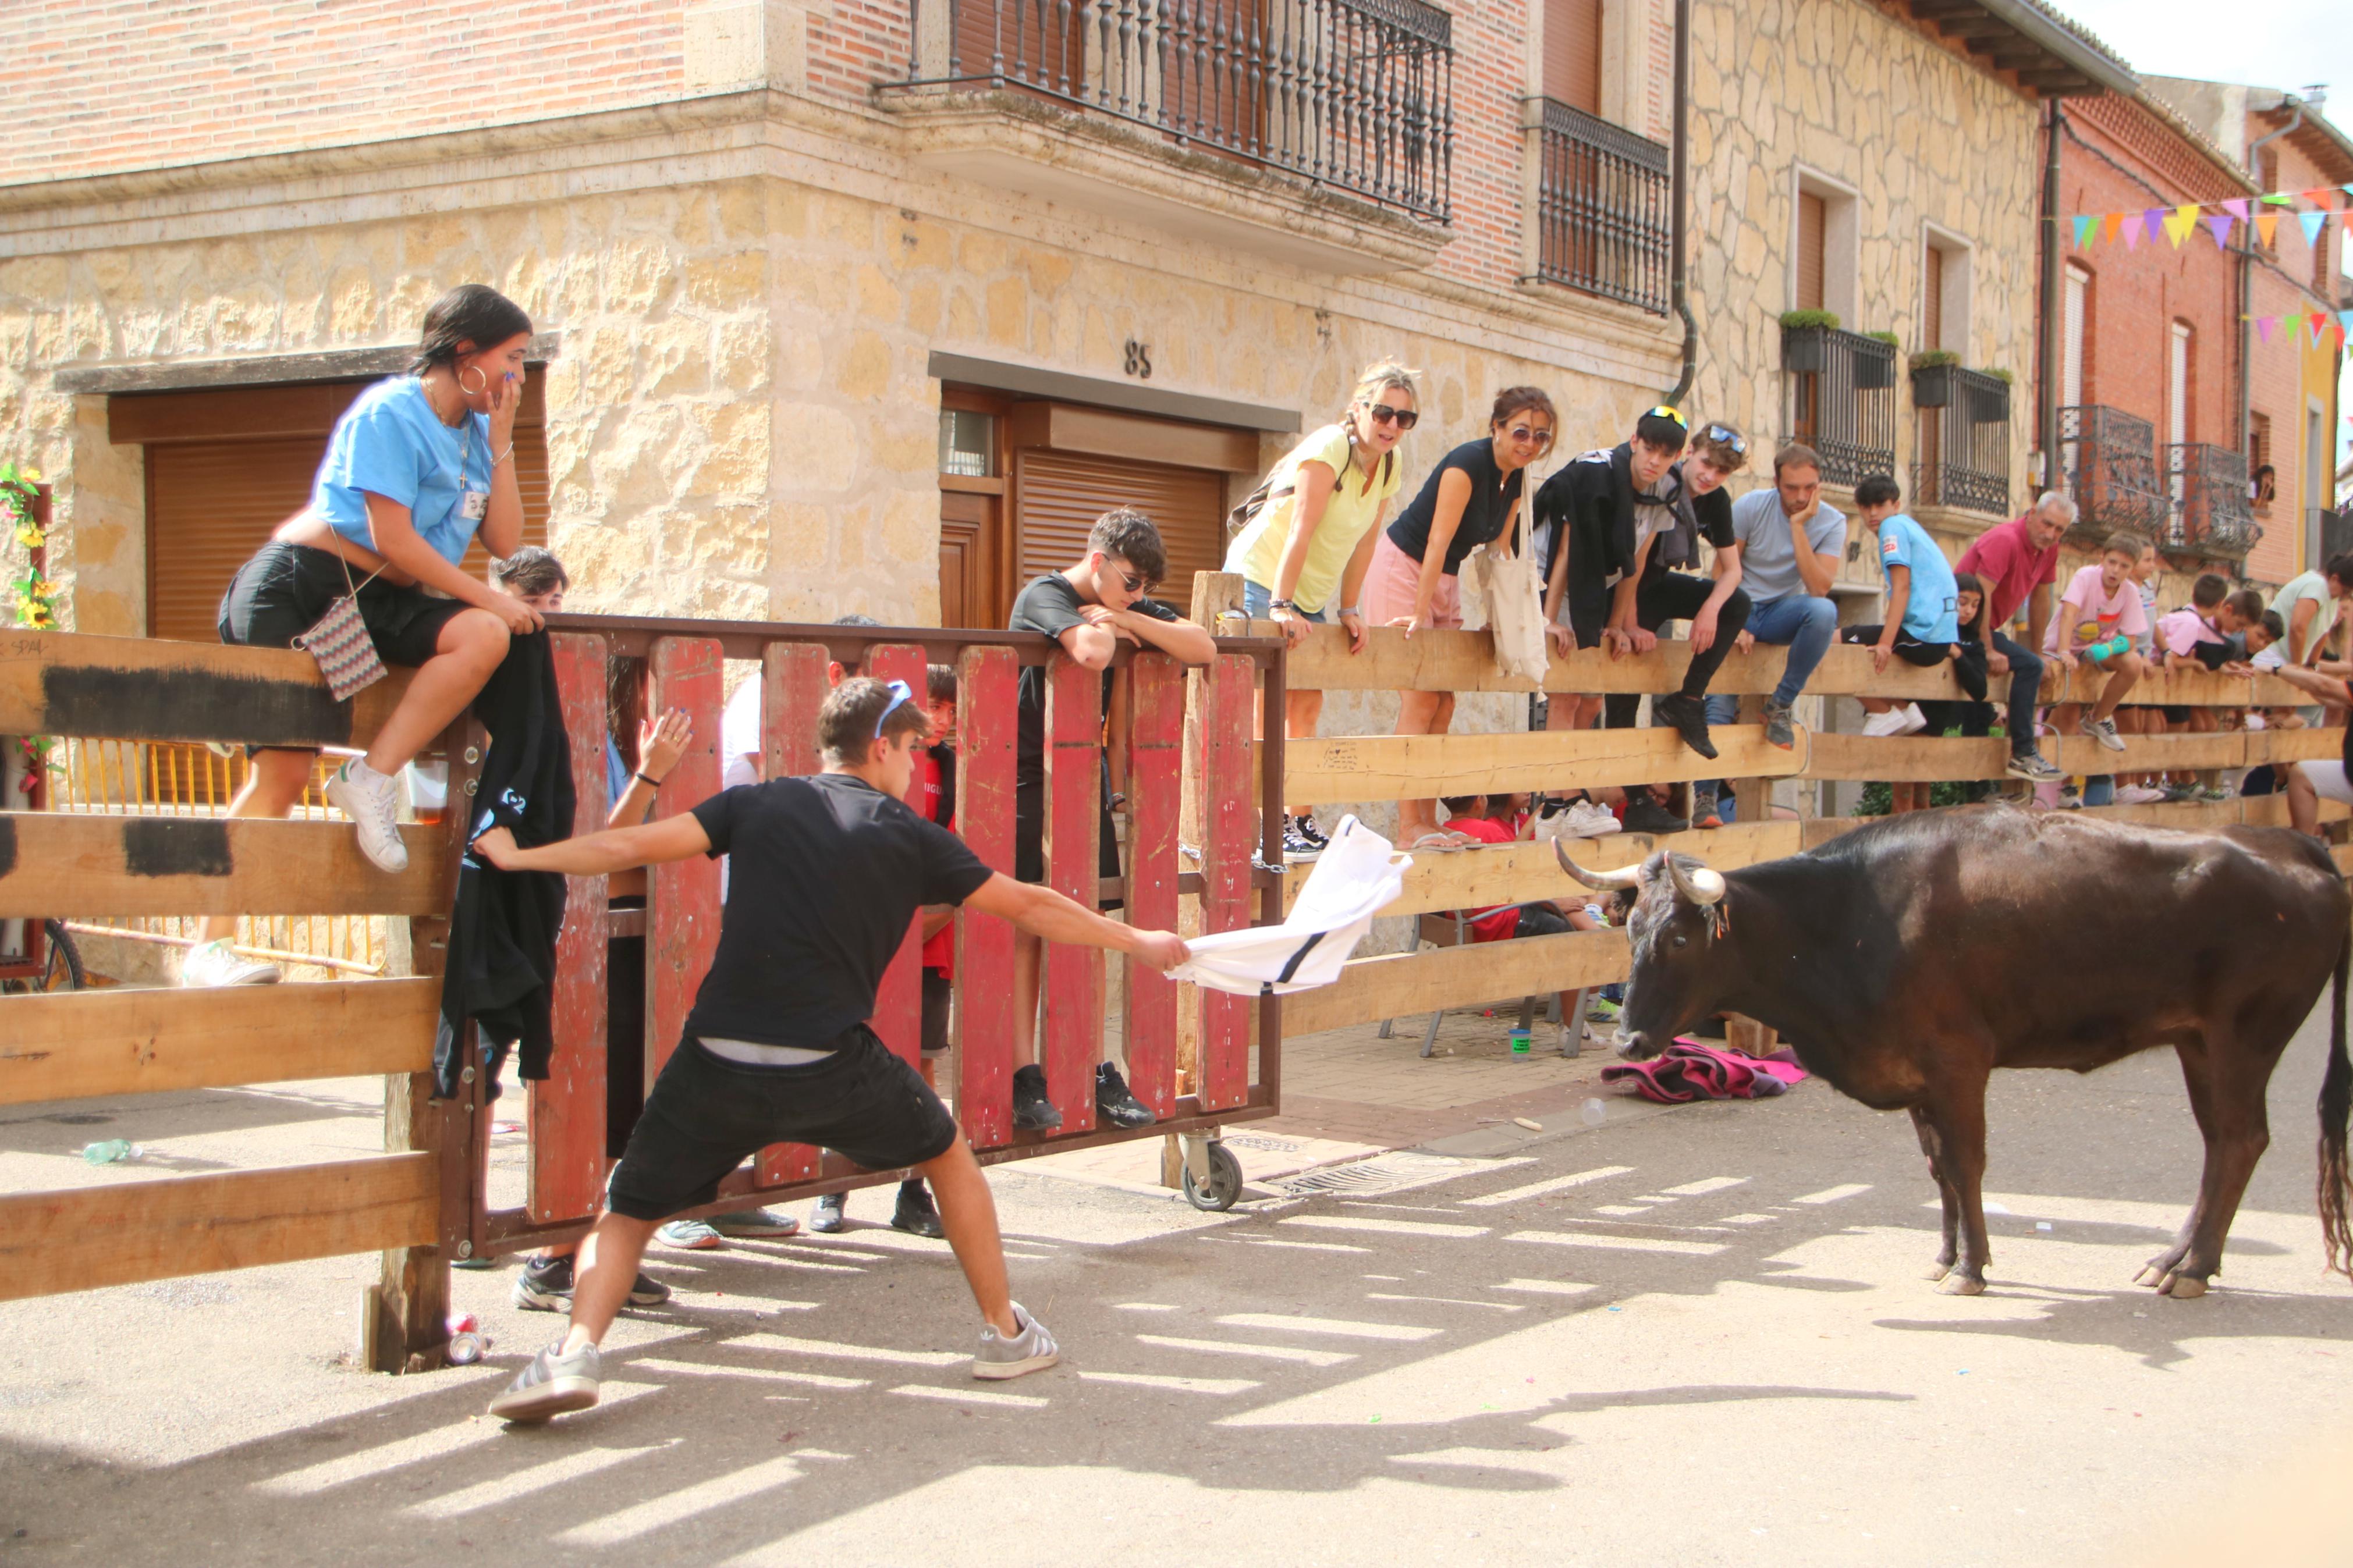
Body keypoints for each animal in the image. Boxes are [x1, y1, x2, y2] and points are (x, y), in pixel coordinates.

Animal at [1562, 808, 2353, 1297]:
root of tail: (2287, 844)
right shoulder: (1918, 1078)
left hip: (2241, 1038)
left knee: (2239, 1140)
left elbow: (1965, 1163)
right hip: (2198, 1043)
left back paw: (2192, 1267)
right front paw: (1945, 1258)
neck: (1846, 921)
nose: (1629, 1039)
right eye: (1628, 928)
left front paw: (1972, 1267)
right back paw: (2177, 1259)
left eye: (1679, 937)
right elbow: (1938, 1166)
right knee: (2221, 1144)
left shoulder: (1957, 1065)